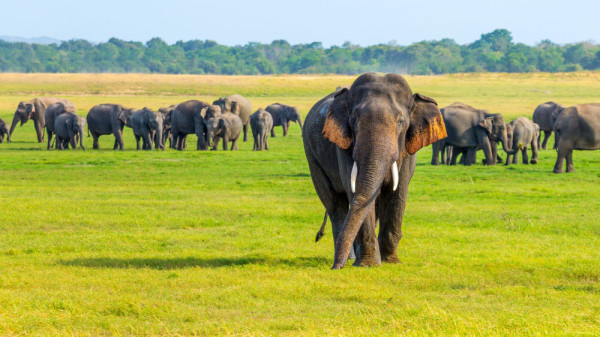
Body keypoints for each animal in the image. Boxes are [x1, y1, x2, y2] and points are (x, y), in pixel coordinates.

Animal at [304, 73, 446, 268]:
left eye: (400, 122)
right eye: (354, 121)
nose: (335, 268)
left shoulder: (407, 150)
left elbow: (398, 193)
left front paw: (391, 261)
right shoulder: (344, 145)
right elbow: (355, 191)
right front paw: (368, 264)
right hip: (312, 156)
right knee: (335, 203)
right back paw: (349, 258)